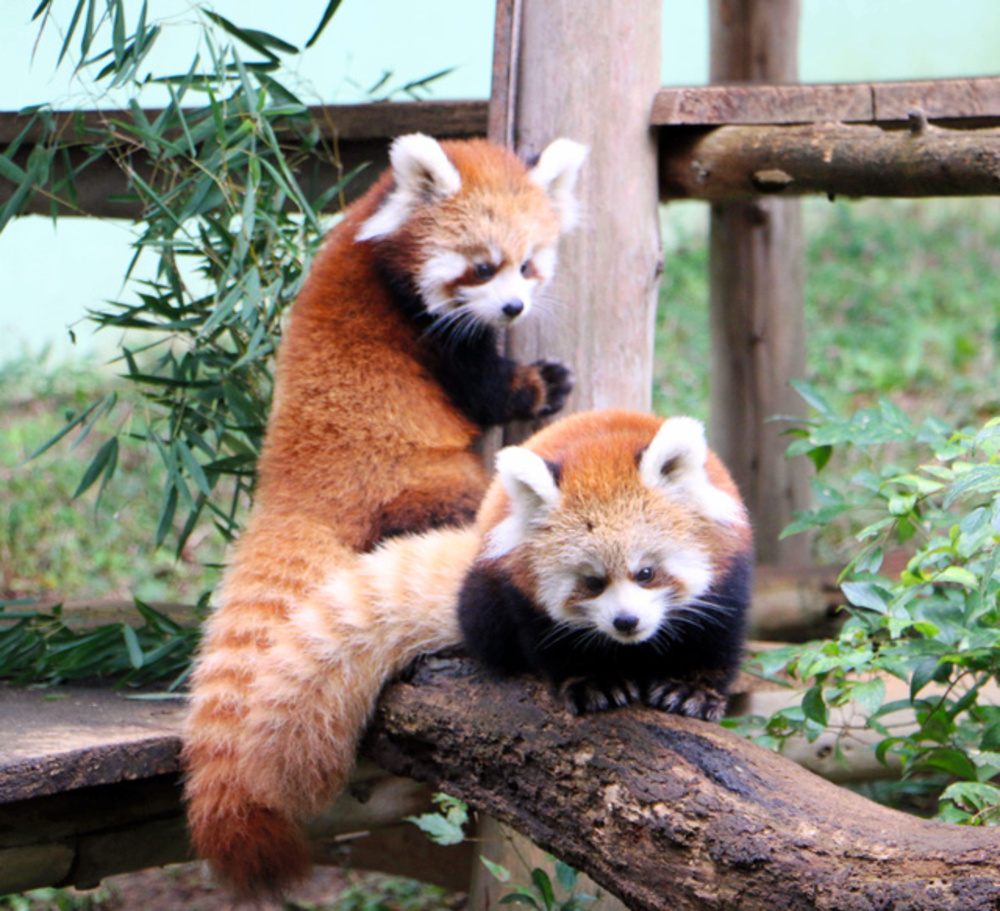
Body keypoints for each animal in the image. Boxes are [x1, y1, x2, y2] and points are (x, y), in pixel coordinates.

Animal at [183, 134, 584, 896]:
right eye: (482, 266)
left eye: (529, 263)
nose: (514, 307)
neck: (377, 238)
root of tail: (293, 489)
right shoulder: (431, 332)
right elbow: (486, 393)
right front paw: (541, 383)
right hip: (415, 478)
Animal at [458, 412, 752, 720]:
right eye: (592, 582)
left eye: (646, 573)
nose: (626, 621)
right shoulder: (522, 588)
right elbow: (554, 641)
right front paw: (595, 682)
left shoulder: (728, 567)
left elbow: (715, 634)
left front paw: (691, 688)